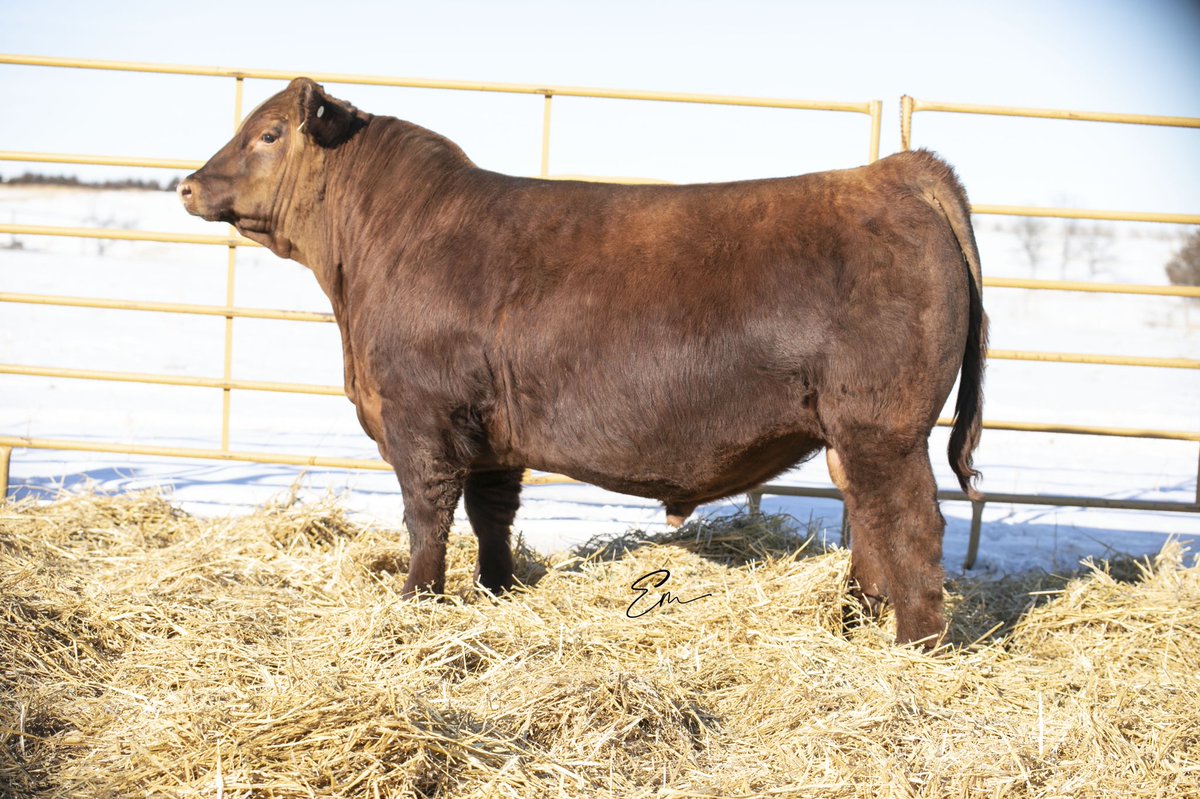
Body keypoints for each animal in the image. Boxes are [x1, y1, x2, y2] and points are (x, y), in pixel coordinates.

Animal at [180, 78, 987, 646]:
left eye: (267, 134)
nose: (188, 184)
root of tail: (894, 170)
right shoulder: (492, 432)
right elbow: (491, 513)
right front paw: (497, 588)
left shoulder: (419, 419)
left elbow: (426, 517)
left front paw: (416, 602)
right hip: (852, 435)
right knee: (870, 519)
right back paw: (854, 619)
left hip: (884, 428)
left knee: (910, 523)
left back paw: (915, 645)